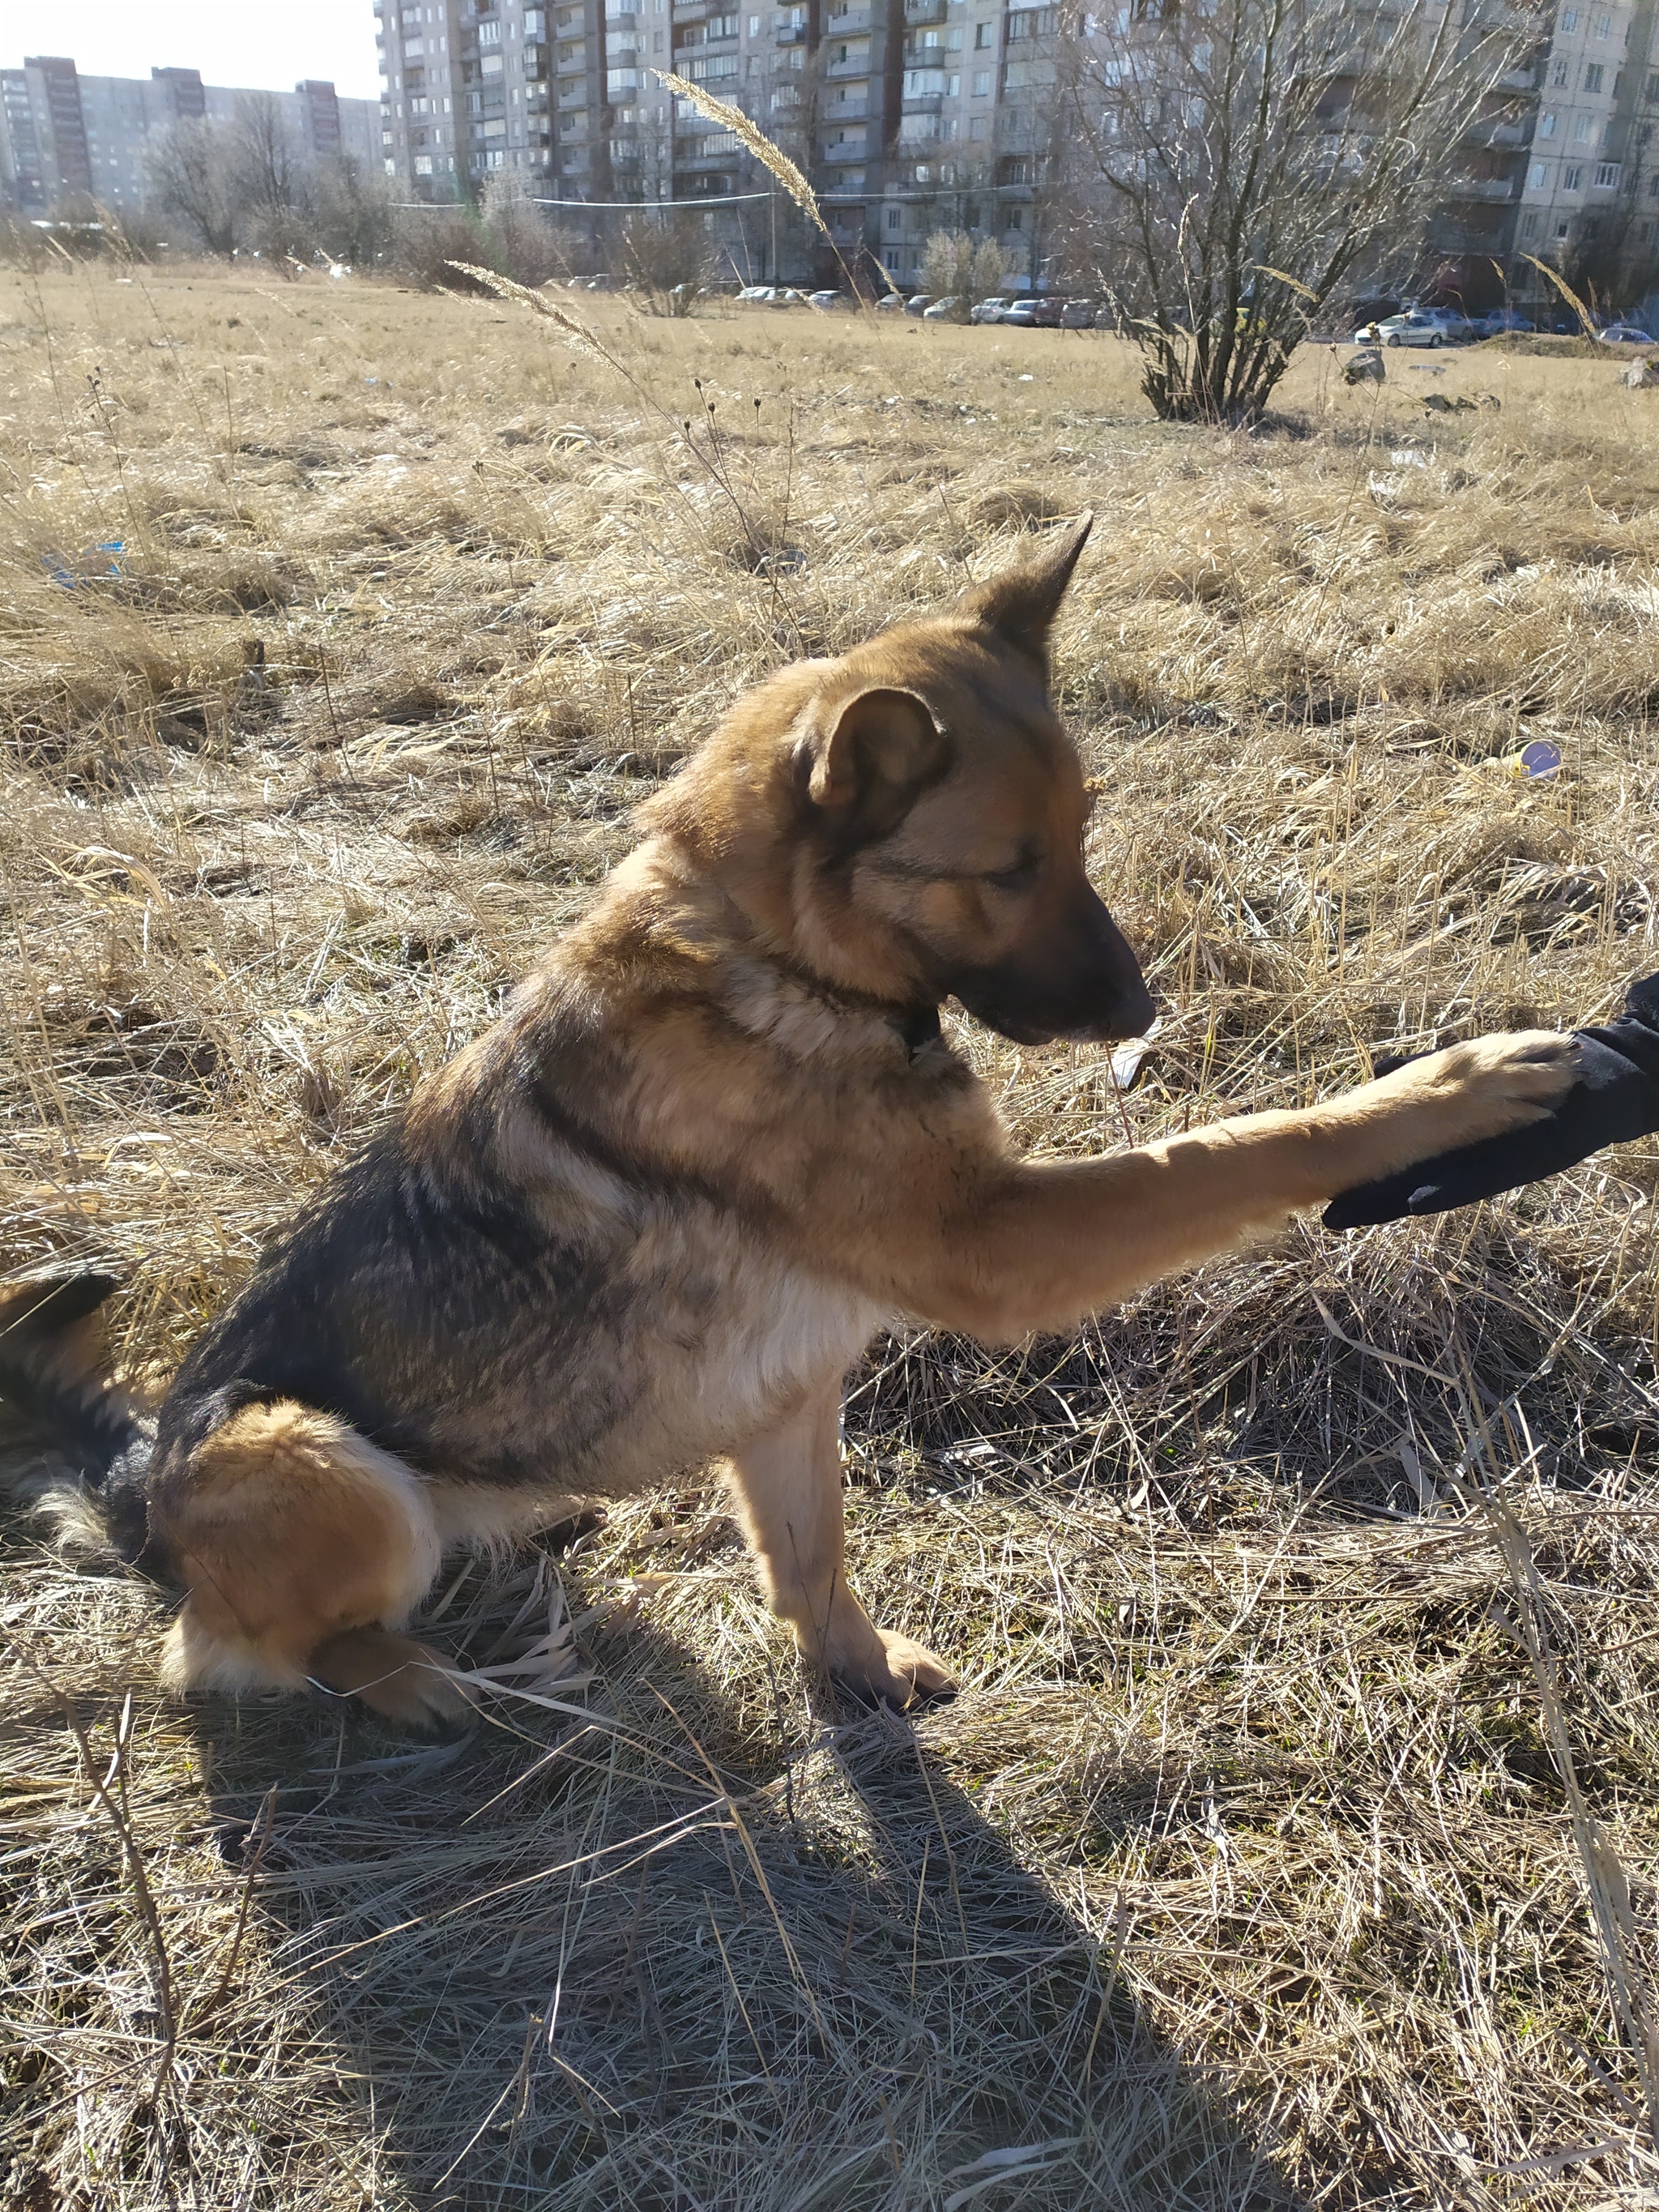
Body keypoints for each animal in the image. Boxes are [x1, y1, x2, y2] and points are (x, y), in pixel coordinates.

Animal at [0, 517, 1584, 1725]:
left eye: (1081, 838)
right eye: (1005, 869)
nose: (1143, 1010)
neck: (783, 958)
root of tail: (139, 1489)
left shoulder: (790, 1395)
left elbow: (807, 1560)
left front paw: (853, 1670)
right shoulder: (998, 1244)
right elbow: (1242, 1143)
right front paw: (1446, 1088)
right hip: (315, 1461)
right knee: (234, 1652)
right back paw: (403, 1678)